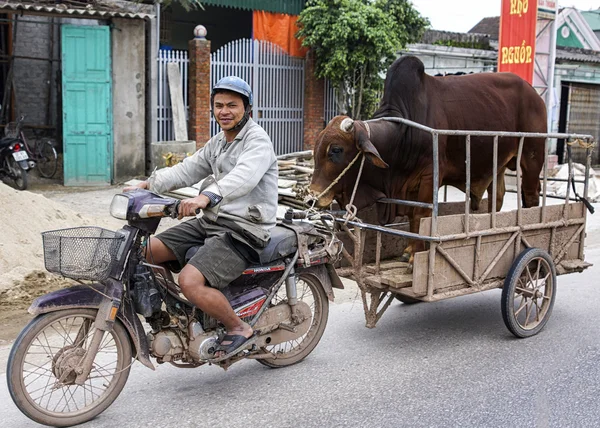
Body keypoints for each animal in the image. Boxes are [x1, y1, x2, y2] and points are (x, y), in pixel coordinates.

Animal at [310, 56, 548, 264]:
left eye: (336, 150)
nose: (312, 196)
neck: (403, 133)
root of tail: (536, 95)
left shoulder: (429, 177)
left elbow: (421, 215)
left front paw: (415, 255)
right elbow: (413, 219)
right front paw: (408, 251)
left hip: (532, 158)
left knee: (531, 196)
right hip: (497, 164)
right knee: (497, 198)